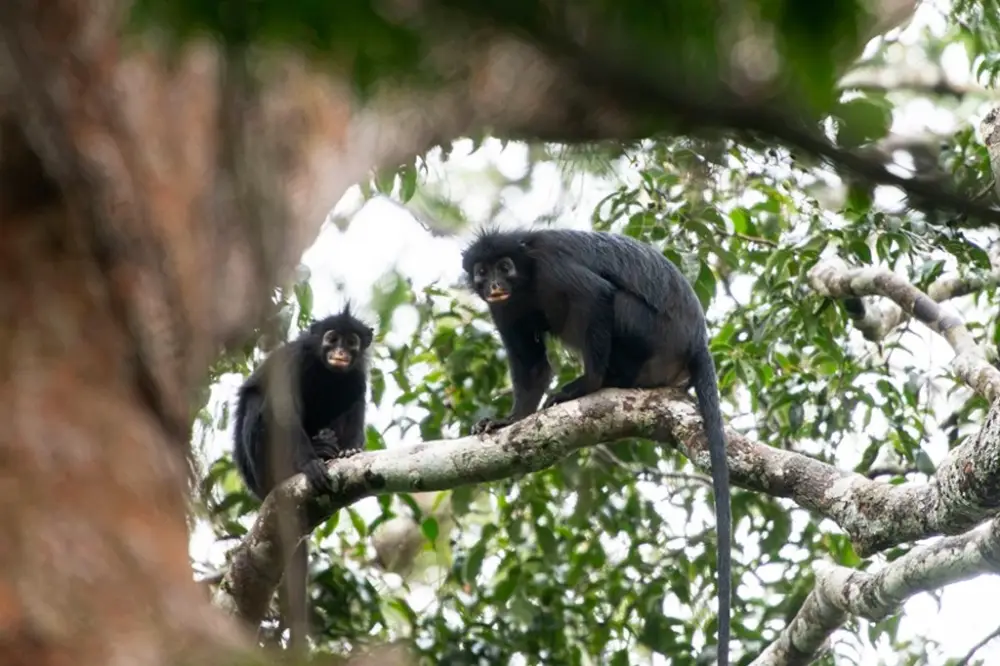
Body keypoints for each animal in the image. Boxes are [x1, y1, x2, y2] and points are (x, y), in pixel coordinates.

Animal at [232, 303, 373, 652]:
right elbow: (282, 409)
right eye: (331, 338)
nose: (340, 352)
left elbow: (357, 396)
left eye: (351, 342)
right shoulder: (294, 361)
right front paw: (309, 464)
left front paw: (350, 450)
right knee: (260, 402)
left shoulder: (357, 373)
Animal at [461, 228, 732, 666]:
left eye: (505, 266)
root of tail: (696, 340)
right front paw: (509, 420)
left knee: (614, 302)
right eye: (483, 272)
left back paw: (606, 381)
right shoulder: (505, 309)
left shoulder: (553, 267)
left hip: (653, 336)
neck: (527, 279)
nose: (496, 284)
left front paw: (586, 385)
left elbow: (597, 297)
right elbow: (532, 367)